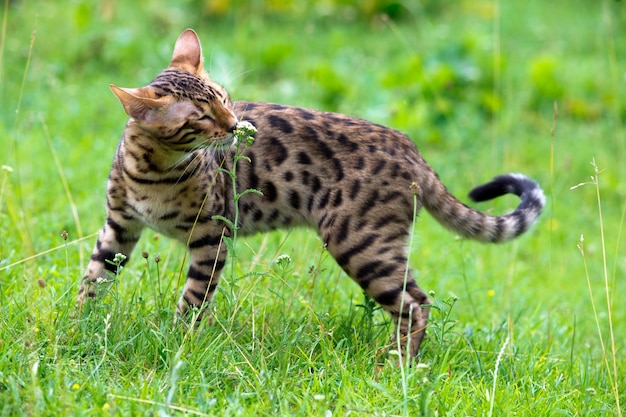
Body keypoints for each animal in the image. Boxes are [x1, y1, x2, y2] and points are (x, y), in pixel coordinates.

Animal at [78, 29, 544, 360]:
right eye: (201, 117)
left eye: (225, 100)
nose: (235, 126)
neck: (154, 169)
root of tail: (411, 148)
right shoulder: (118, 226)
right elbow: (92, 279)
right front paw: (76, 328)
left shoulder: (212, 235)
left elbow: (193, 299)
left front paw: (177, 345)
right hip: (381, 247)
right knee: (420, 299)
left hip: (360, 243)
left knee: (415, 307)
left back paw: (395, 368)